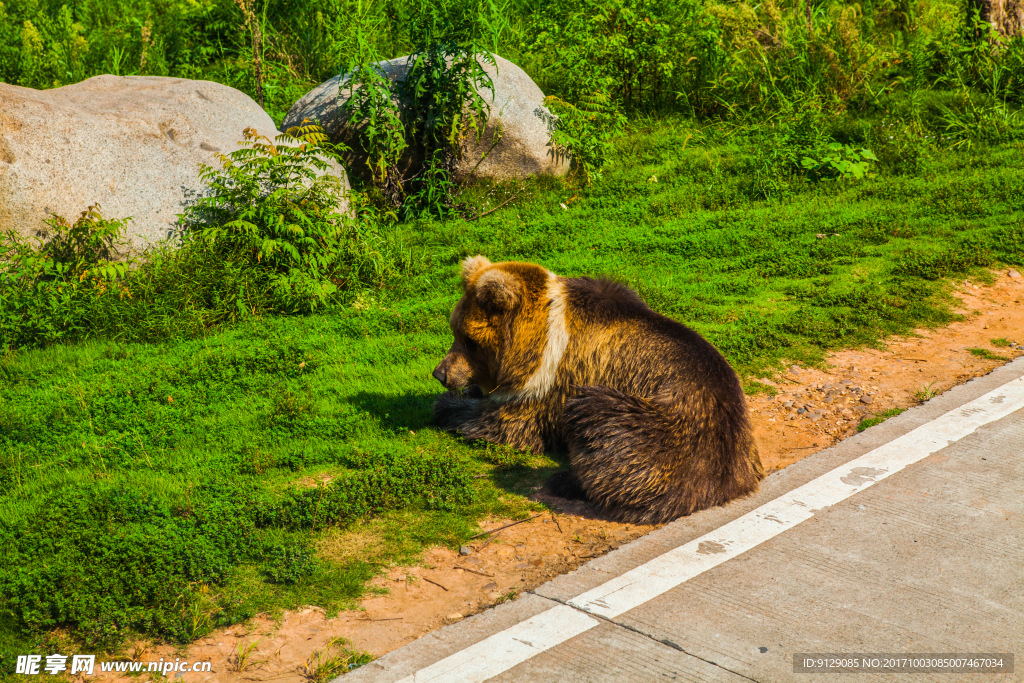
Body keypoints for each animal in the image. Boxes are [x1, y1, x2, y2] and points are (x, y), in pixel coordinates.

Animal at [428, 254, 765, 524]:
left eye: (469, 340)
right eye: (455, 329)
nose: (441, 373)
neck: (539, 336)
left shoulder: (550, 381)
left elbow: (505, 424)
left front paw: (448, 405)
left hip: (669, 429)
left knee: (599, 421)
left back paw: (565, 481)